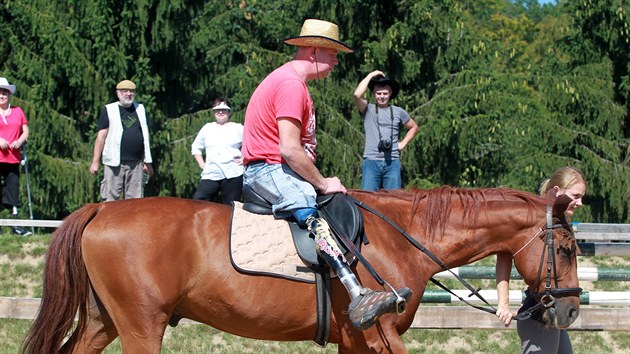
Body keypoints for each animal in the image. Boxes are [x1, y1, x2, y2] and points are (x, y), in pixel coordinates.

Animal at [21, 187, 584, 352]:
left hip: (106, 320)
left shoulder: (353, 343)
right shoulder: (378, 335)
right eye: (568, 247)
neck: (403, 236)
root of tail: (103, 209)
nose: (572, 312)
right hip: (141, 326)